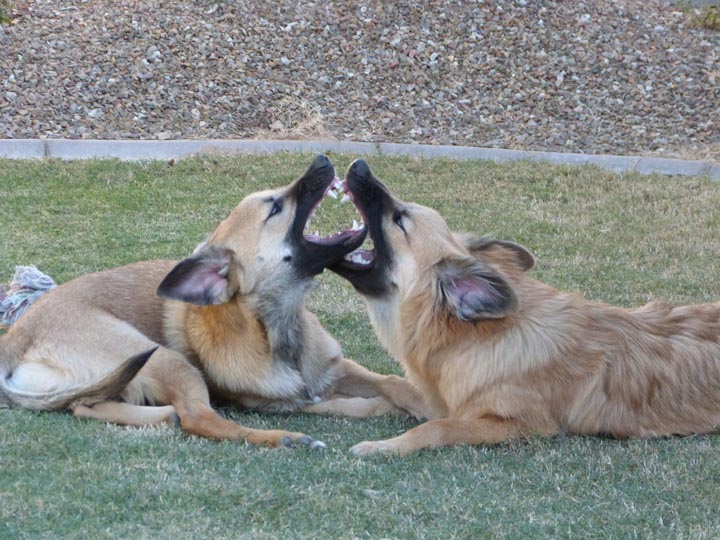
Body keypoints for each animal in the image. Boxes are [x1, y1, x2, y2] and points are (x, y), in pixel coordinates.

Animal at [0, 155, 424, 448]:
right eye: (275, 207)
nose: (321, 158)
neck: (280, 328)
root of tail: (14, 338)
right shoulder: (281, 402)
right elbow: (343, 403)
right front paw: (382, 409)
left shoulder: (337, 368)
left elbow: (393, 382)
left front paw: (415, 401)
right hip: (163, 358)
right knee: (200, 419)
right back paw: (284, 439)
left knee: (84, 405)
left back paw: (159, 416)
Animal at [330, 160, 720, 456]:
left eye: (400, 219)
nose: (359, 164)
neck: (473, 338)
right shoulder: (447, 397)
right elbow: (396, 386)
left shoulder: (516, 424)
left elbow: (437, 428)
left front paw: (384, 445)